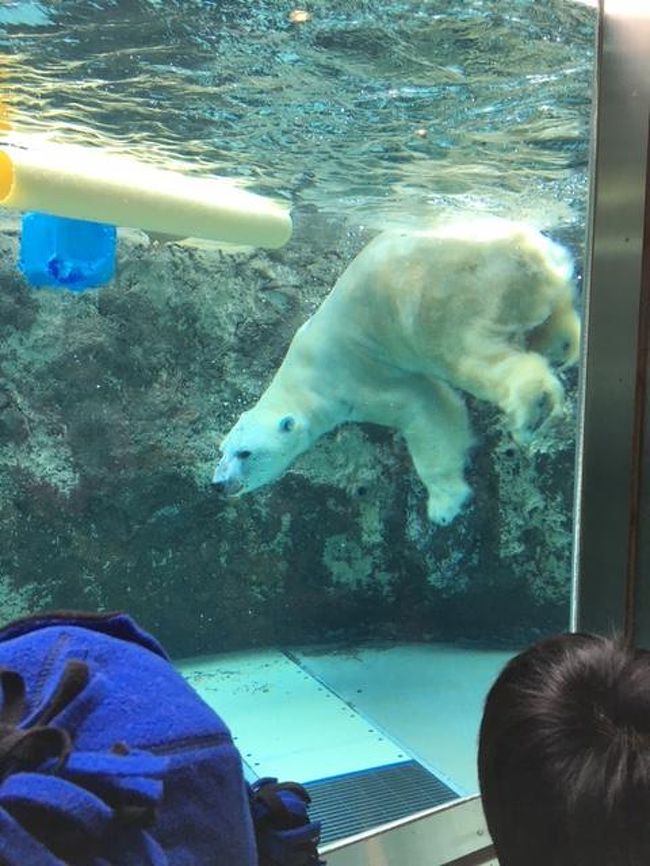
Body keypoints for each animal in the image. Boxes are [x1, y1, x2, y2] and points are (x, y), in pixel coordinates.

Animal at [211, 219, 576, 524]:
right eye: (222, 450)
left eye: (245, 453)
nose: (218, 484)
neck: (301, 376)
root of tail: (526, 246)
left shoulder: (354, 378)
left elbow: (428, 411)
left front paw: (444, 506)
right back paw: (562, 344)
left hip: (450, 299)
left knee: (467, 355)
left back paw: (533, 407)